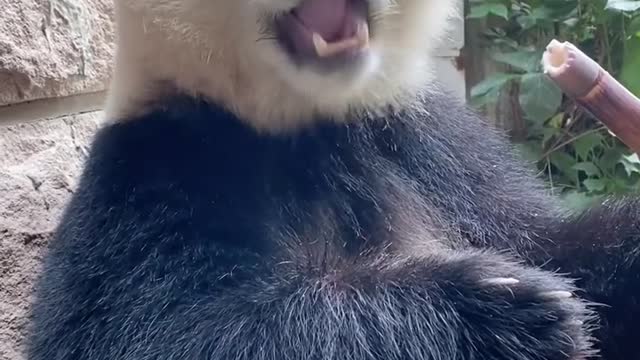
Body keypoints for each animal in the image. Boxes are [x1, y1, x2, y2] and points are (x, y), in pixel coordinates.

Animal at [22, 0, 636, 358]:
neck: (304, 113)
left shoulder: (426, 144)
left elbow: (553, 243)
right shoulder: (153, 178)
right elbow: (156, 336)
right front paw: (502, 311)